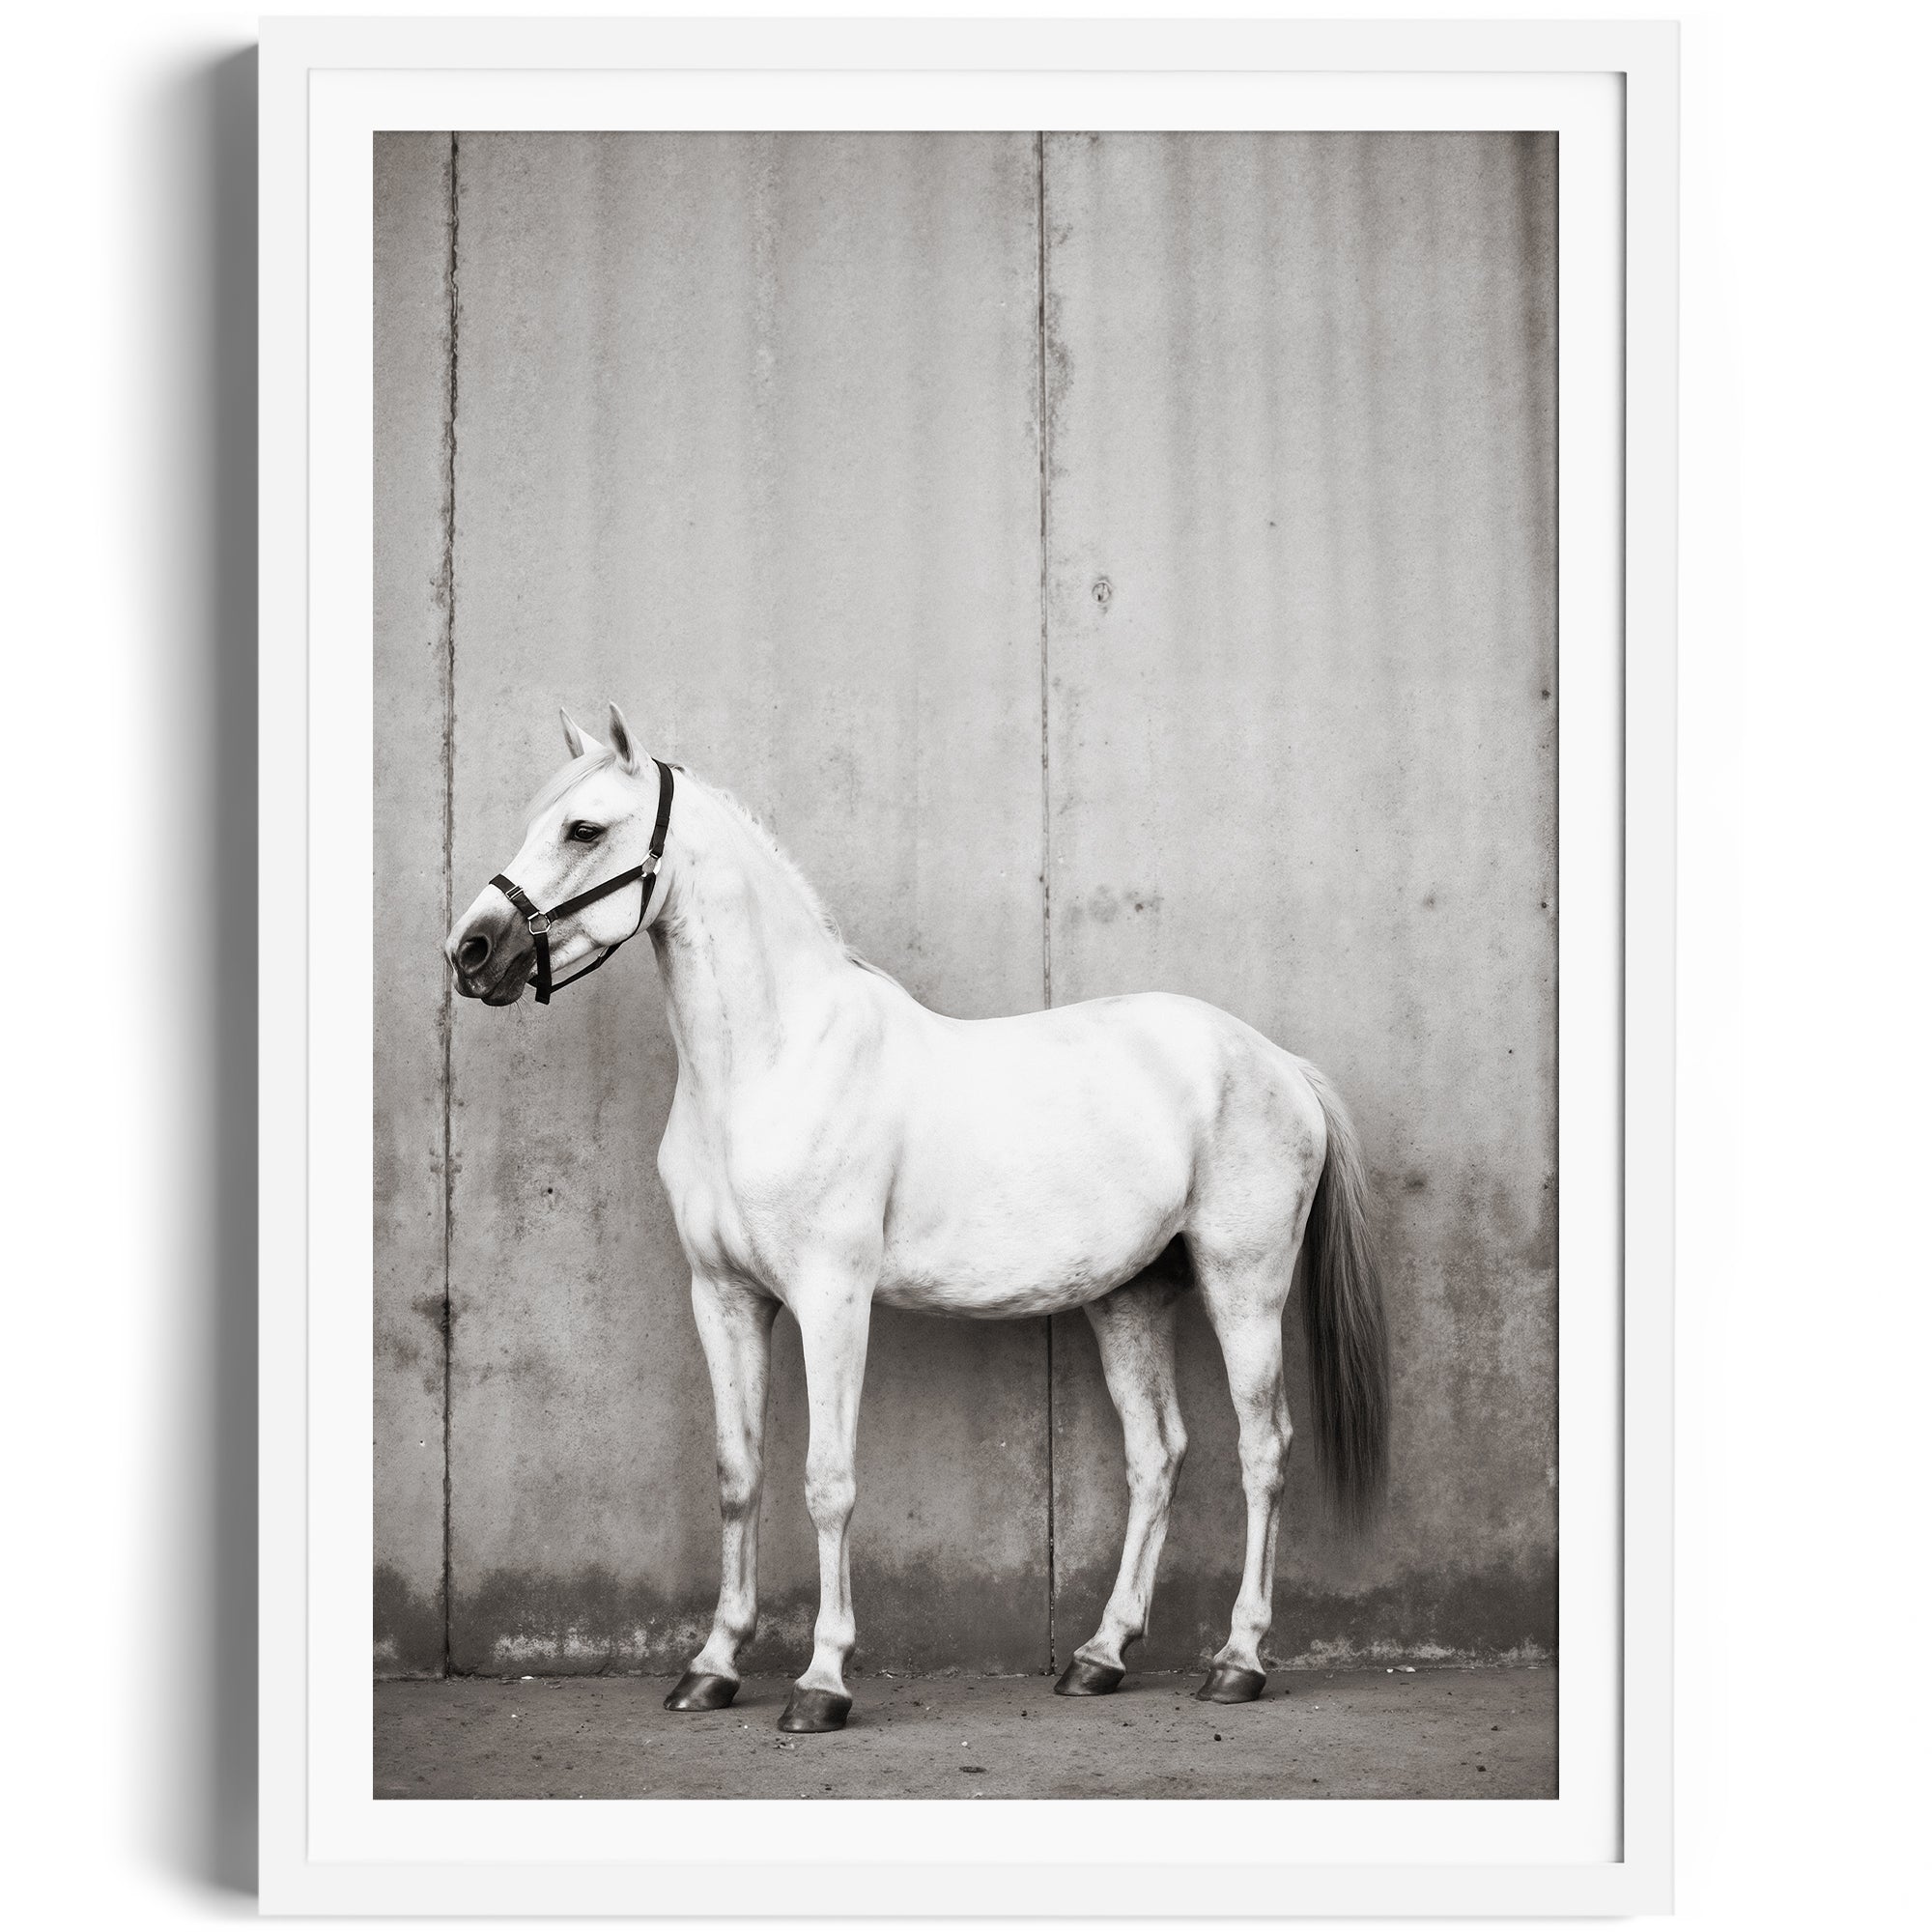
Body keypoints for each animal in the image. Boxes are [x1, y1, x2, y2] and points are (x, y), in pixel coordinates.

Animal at [448, 703, 1391, 1731]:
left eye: (584, 829)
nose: (471, 951)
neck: (770, 1068)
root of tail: (1276, 1061)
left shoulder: (832, 1300)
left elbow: (827, 1482)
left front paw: (822, 1683)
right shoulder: (725, 1299)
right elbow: (739, 1478)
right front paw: (712, 1667)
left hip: (1243, 1284)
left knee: (1263, 1450)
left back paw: (1238, 1660)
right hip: (1130, 1297)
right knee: (1157, 1456)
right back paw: (1099, 1655)